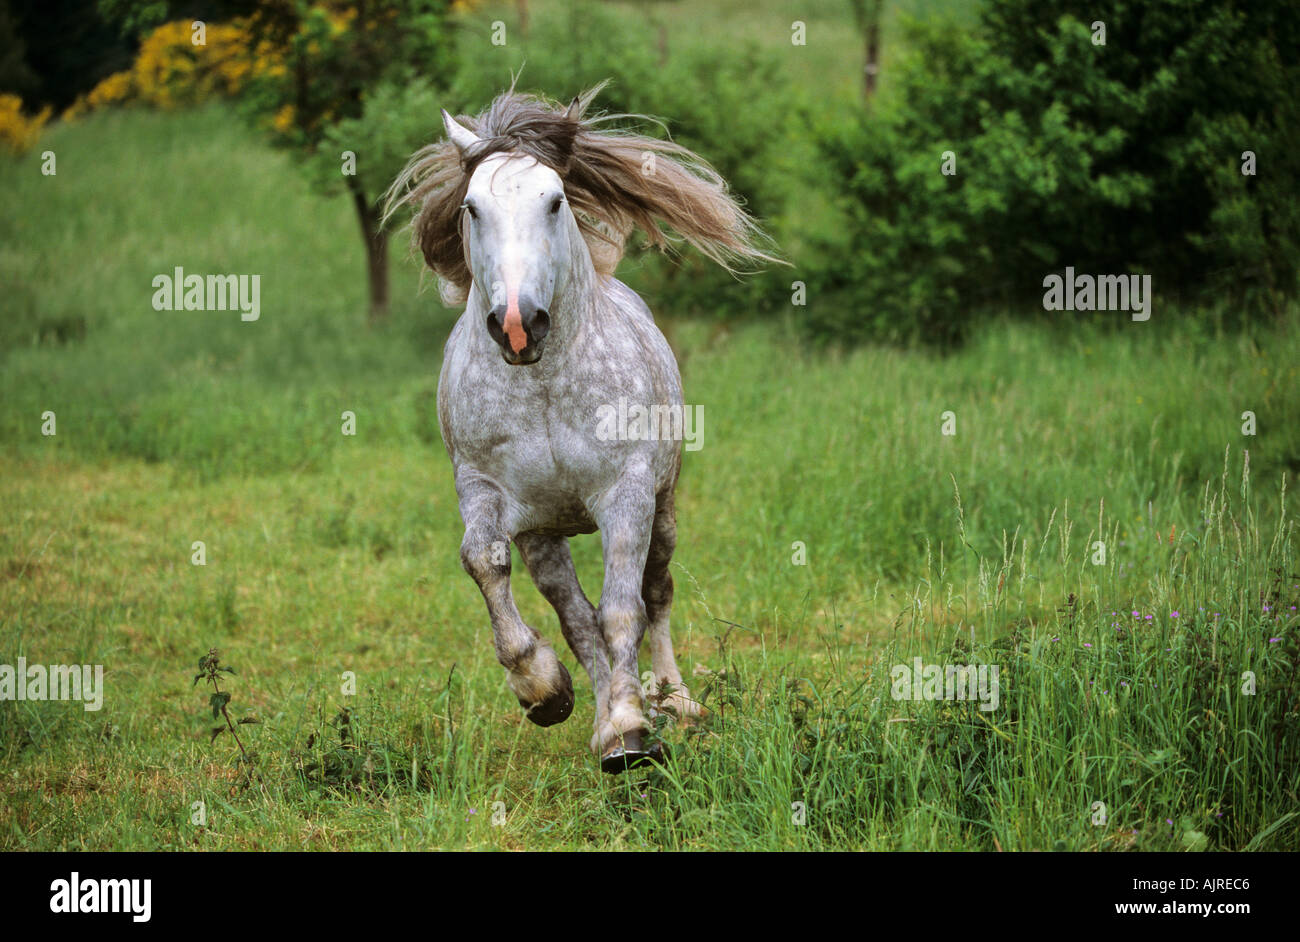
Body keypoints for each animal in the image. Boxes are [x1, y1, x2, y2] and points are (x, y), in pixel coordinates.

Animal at [382, 82, 769, 769]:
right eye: (472, 207)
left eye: (556, 200)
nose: (517, 325)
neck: (543, 389)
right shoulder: (488, 493)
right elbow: (488, 566)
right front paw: (549, 693)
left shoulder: (627, 494)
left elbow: (624, 611)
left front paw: (634, 730)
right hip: (546, 537)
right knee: (575, 615)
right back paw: (599, 717)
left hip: (664, 507)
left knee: (657, 591)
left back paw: (674, 702)